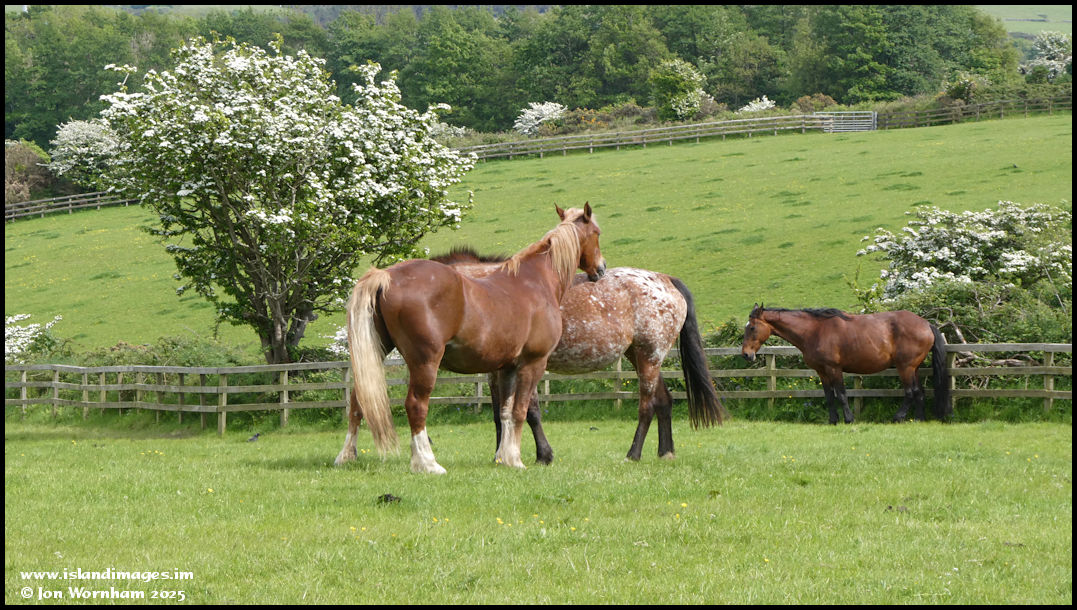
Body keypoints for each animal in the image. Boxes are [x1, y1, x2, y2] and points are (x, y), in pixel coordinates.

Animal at [334, 204, 606, 473]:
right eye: (597, 232)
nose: (601, 269)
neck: (535, 281)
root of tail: (386, 275)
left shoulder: (506, 368)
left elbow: (505, 413)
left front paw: (505, 457)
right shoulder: (533, 363)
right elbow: (521, 411)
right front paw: (518, 459)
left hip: (376, 354)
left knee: (358, 402)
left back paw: (346, 456)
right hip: (425, 362)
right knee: (416, 405)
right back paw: (427, 463)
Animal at [432, 249, 727, 462]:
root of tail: (665, 279)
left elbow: (529, 412)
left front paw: (542, 456)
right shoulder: (499, 371)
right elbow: (500, 413)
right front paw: (501, 455)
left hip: (649, 356)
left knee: (648, 406)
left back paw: (633, 454)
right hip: (641, 356)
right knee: (664, 401)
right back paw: (665, 452)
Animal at [740, 304, 950, 424]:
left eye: (752, 327)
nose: (746, 355)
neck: (815, 331)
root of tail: (926, 324)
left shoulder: (834, 369)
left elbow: (841, 394)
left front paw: (849, 419)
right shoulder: (822, 372)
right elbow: (829, 396)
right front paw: (832, 420)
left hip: (905, 367)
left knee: (909, 392)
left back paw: (898, 418)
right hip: (914, 368)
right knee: (919, 393)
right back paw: (919, 419)